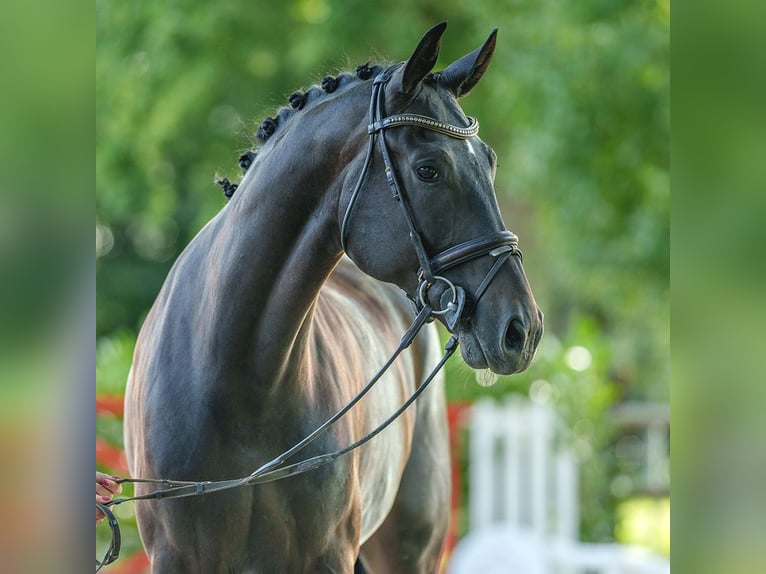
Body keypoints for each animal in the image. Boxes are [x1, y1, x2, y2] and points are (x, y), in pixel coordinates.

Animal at [124, 23, 544, 574]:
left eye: (490, 162)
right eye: (429, 170)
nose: (522, 329)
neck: (238, 377)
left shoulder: (327, 557)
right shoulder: (176, 558)